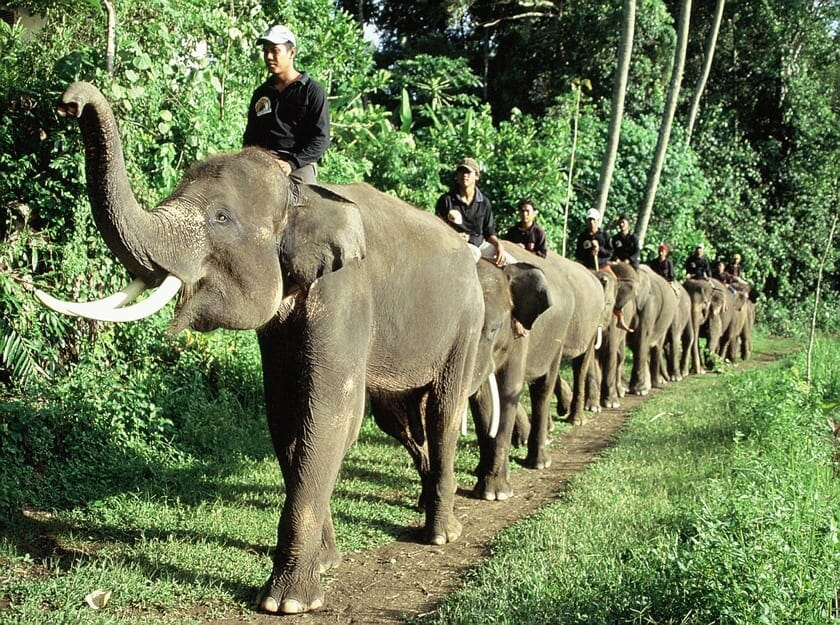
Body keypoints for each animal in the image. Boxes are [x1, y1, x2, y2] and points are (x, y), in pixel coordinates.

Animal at [36, 82, 488, 615]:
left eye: (220, 217)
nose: (70, 101)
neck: (300, 196)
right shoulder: (278, 331)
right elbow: (286, 415)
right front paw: (326, 564)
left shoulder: (345, 296)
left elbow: (330, 411)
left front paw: (286, 603)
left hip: (467, 322)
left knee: (443, 412)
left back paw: (441, 534)